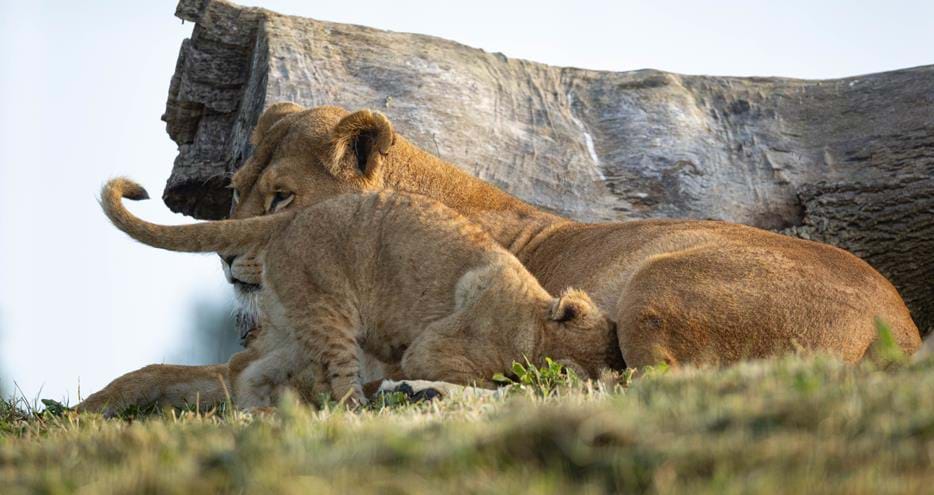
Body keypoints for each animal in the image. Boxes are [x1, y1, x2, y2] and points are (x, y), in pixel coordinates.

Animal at [97, 179, 623, 406]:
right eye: (578, 371)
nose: (597, 388)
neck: (535, 318)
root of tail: (287, 218)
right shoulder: (431, 350)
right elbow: (487, 380)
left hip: (299, 323)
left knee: (247, 369)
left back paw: (259, 414)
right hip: (334, 318)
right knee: (340, 384)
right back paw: (358, 410)